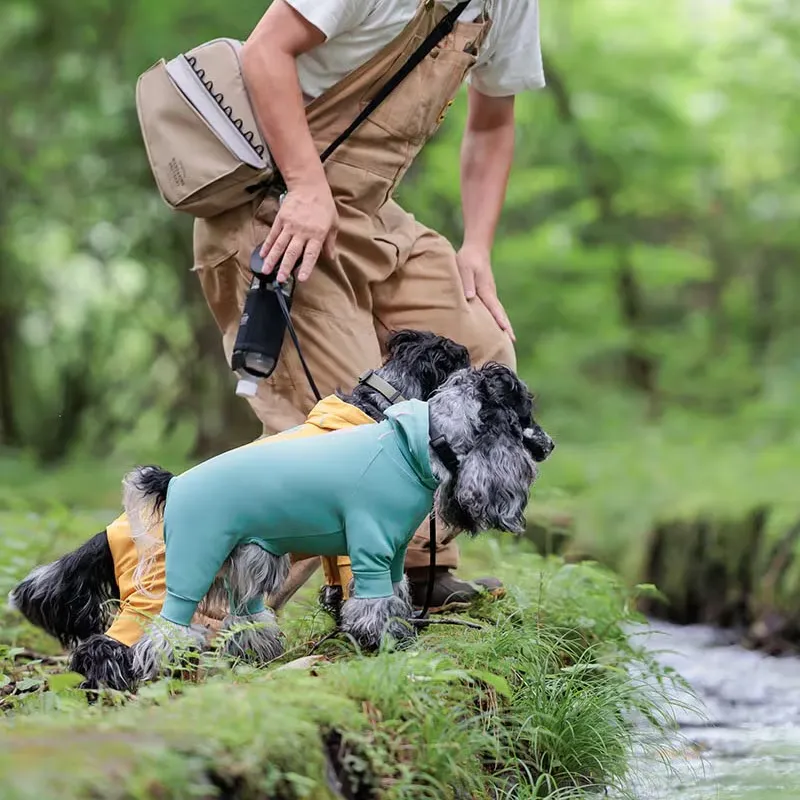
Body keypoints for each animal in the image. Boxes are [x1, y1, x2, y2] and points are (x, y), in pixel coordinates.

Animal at [123, 362, 552, 688]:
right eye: (525, 414)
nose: (550, 446)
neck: (424, 442)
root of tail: (173, 482)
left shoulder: (393, 553)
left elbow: (398, 595)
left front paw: (402, 634)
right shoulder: (370, 549)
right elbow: (373, 604)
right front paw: (382, 644)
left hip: (249, 561)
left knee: (245, 615)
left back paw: (259, 655)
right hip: (196, 559)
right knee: (167, 627)